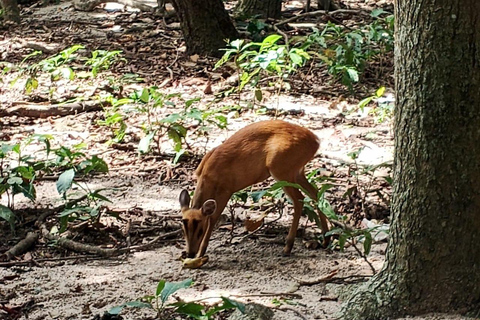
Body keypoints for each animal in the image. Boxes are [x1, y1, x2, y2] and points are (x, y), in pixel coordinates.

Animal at [178, 119, 332, 264]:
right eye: (183, 229)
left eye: (200, 230)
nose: (190, 254)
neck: (208, 176)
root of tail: (316, 141)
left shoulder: (226, 190)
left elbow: (213, 218)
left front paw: (201, 254)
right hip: (297, 171)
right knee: (315, 192)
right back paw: (325, 239)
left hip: (281, 168)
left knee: (299, 200)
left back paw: (288, 247)